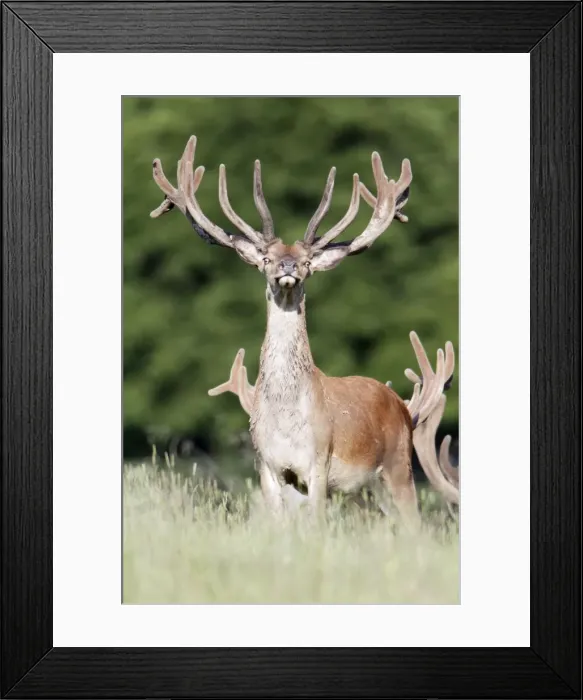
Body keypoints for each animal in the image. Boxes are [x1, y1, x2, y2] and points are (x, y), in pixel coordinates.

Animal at [150, 135, 450, 527]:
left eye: (307, 262)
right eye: (266, 258)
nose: (289, 266)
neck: (286, 420)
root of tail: (402, 406)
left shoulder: (318, 462)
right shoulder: (268, 465)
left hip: (399, 467)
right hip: (368, 492)